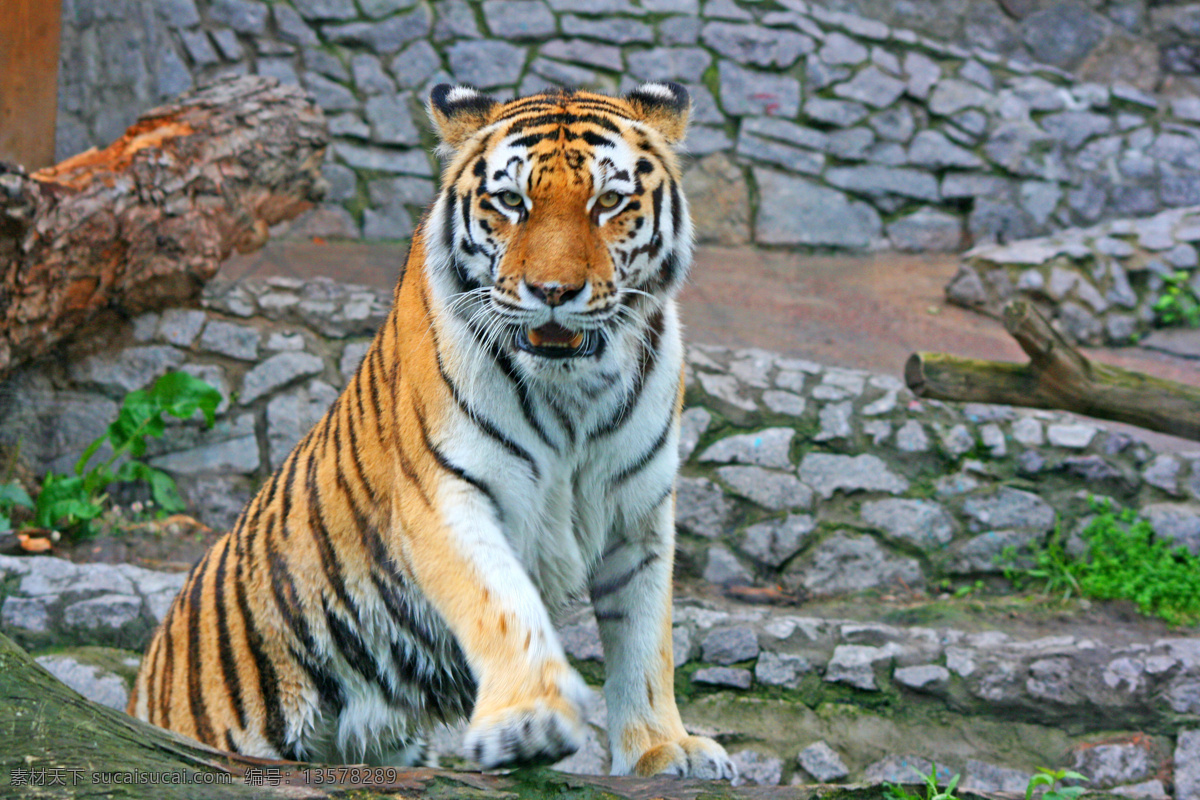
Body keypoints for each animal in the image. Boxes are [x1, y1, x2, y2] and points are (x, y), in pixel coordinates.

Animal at [126, 82, 734, 782]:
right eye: (511, 201)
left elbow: (646, 642)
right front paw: (530, 720)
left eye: (608, 201)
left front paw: (665, 749)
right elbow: (503, 605)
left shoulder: (640, 515)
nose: (553, 291)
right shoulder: (446, 493)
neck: (574, 391)